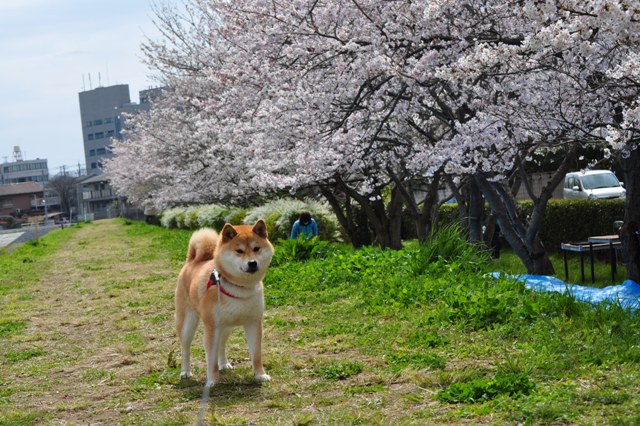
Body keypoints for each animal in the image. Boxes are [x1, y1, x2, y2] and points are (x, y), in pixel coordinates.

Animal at [176, 220, 274, 386]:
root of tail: (193, 261)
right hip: (188, 323)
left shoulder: (254, 323)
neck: (240, 288)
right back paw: (185, 371)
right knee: (186, 348)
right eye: (239, 251)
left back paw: (223, 364)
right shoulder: (211, 327)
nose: (252, 263)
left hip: (226, 327)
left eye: (256, 249)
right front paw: (212, 381)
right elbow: (210, 359)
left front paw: (260, 374)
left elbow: (256, 354)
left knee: (221, 345)